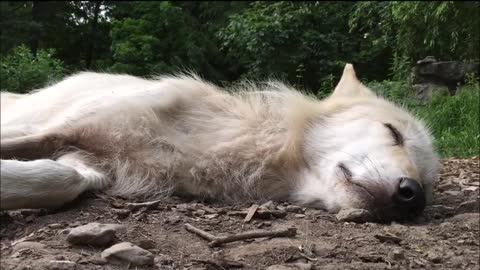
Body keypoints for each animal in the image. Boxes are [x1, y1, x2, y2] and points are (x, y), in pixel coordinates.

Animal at [0, 64, 440, 220]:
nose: (412, 196)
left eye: (429, 185)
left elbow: (56, 180)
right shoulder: (57, 130)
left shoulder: (87, 164)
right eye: (393, 132)